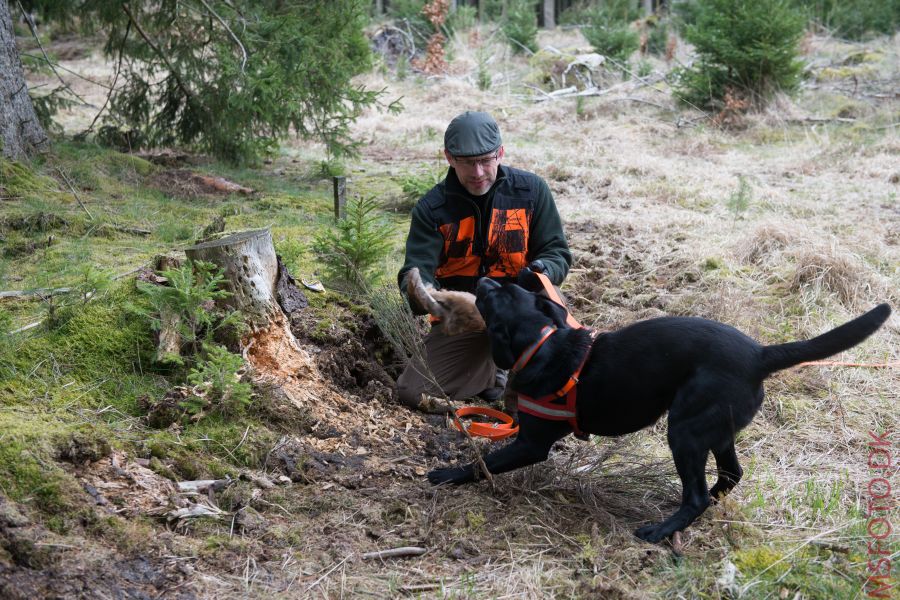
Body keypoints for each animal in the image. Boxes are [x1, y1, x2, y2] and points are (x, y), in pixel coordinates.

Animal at [430, 274, 892, 544]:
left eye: (499, 293)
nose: (483, 277)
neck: (543, 342)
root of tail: (760, 354)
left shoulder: (531, 443)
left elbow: (483, 463)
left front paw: (448, 475)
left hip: (684, 431)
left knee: (697, 495)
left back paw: (662, 530)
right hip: (714, 430)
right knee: (728, 476)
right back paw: (701, 507)